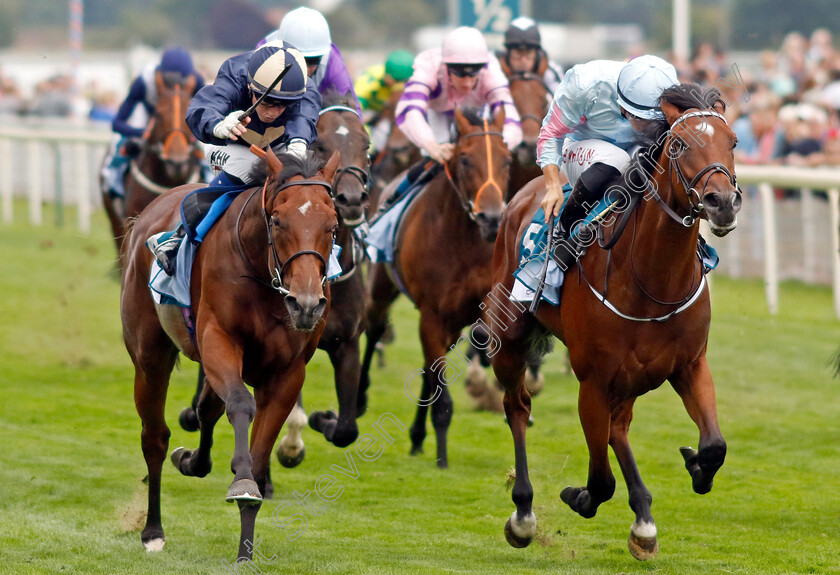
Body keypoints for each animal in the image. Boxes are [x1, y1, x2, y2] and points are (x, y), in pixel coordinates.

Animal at [119, 148, 342, 564]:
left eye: (333, 225)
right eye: (277, 220)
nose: (306, 304)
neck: (263, 278)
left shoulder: (287, 374)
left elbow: (257, 453)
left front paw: (245, 549)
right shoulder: (219, 340)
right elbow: (239, 402)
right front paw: (241, 483)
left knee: (206, 410)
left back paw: (192, 461)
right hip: (149, 357)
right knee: (154, 438)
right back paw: (152, 531)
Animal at [360, 107, 512, 468]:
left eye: (508, 160)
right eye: (465, 159)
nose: (491, 218)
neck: (462, 240)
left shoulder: (478, 304)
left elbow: (475, 338)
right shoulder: (431, 313)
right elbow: (440, 390)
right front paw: (442, 456)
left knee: (430, 368)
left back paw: (417, 436)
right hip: (381, 286)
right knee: (374, 330)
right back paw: (357, 402)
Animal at [488, 83, 740, 560]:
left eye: (733, 141)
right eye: (679, 145)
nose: (722, 203)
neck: (651, 281)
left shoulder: (689, 365)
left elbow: (715, 445)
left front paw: (695, 466)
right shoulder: (593, 380)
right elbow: (600, 481)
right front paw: (578, 496)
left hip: (634, 377)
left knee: (617, 428)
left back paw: (642, 513)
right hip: (509, 337)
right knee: (518, 407)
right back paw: (523, 513)